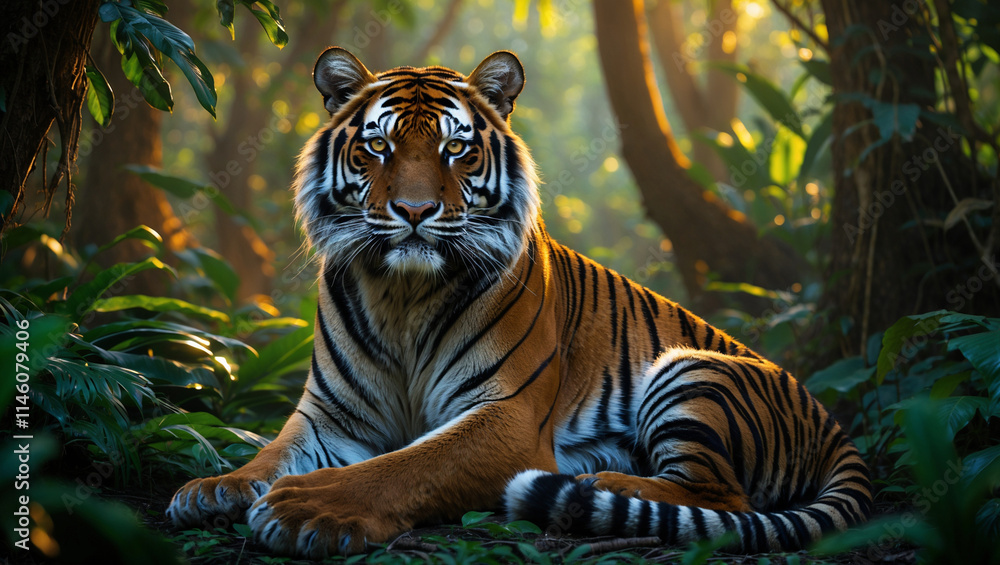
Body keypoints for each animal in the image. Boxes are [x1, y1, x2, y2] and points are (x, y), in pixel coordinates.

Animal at [166, 47, 871, 557]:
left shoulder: (504, 418)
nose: (415, 211)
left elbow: (405, 466)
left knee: (723, 496)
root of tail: (829, 419)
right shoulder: (331, 416)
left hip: (691, 368)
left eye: (455, 147)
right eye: (378, 146)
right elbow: (271, 453)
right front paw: (211, 490)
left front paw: (303, 508)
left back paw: (598, 484)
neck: (402, 293)